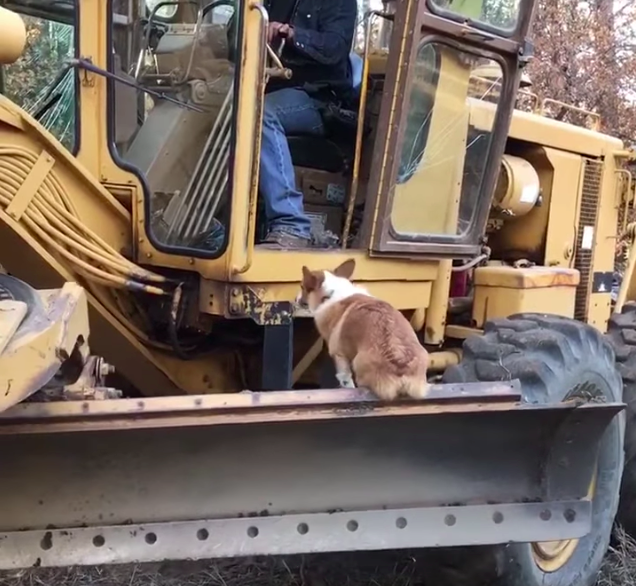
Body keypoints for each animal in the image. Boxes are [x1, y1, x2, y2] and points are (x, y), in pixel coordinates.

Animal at [296, 258, 430, 400]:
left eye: (302, 286)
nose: (296, 299)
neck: (332, 293)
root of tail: (400, 364)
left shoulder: (340, 356)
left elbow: (346, 379)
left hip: (358, 367)